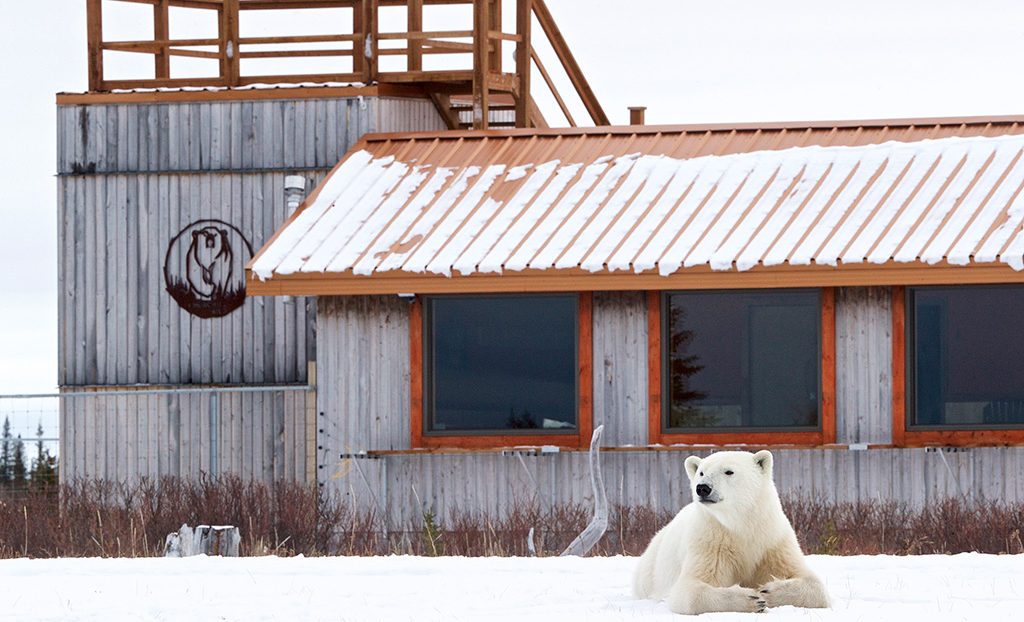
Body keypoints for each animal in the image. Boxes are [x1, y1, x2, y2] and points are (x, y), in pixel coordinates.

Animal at [630, 450, 831, 614]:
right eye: (701, 472)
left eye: (728, 471)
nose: (702, 487)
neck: (740, 525)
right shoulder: (711, 542)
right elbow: (689, 591)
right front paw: (753, 599)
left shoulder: (772, 541)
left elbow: (815, 585)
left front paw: (768, 591)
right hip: (650, 571)